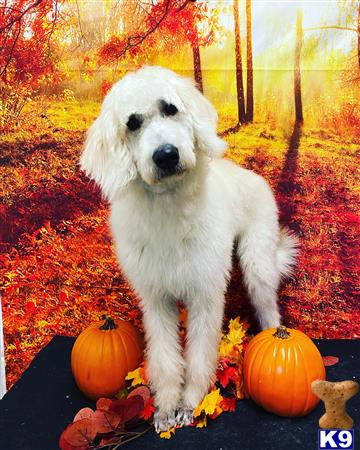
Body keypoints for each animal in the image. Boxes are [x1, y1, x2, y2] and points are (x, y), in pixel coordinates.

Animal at [81, 66, 298, 432]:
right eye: (132, 123)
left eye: (170, 108)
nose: (166, 155)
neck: (169, 210)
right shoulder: (156, 301)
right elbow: (166, 358)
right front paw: (166, 407)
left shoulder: (205, 296)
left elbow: (198, 355)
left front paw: (191, 403)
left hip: (257, 266)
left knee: (270, 313)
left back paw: (275, 337)